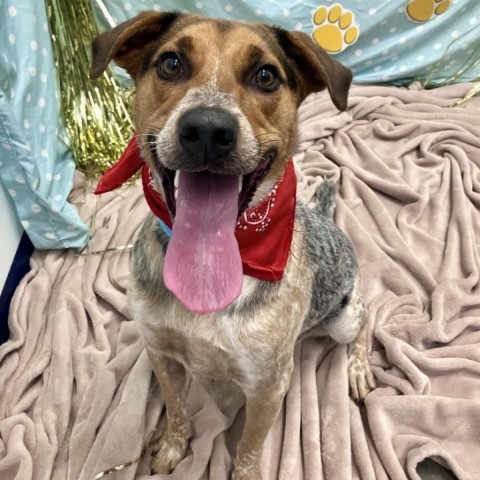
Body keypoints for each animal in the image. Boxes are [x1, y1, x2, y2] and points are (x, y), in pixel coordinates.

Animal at [89, 11, 376, 480]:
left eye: (266, 76)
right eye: (171, 63)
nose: (207, 129)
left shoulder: (267, 385)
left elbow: (247, 448)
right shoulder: (161, 353)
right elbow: (176, 409)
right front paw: (172, 447)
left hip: (343, 319)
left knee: (368, 319)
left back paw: (358, 367)